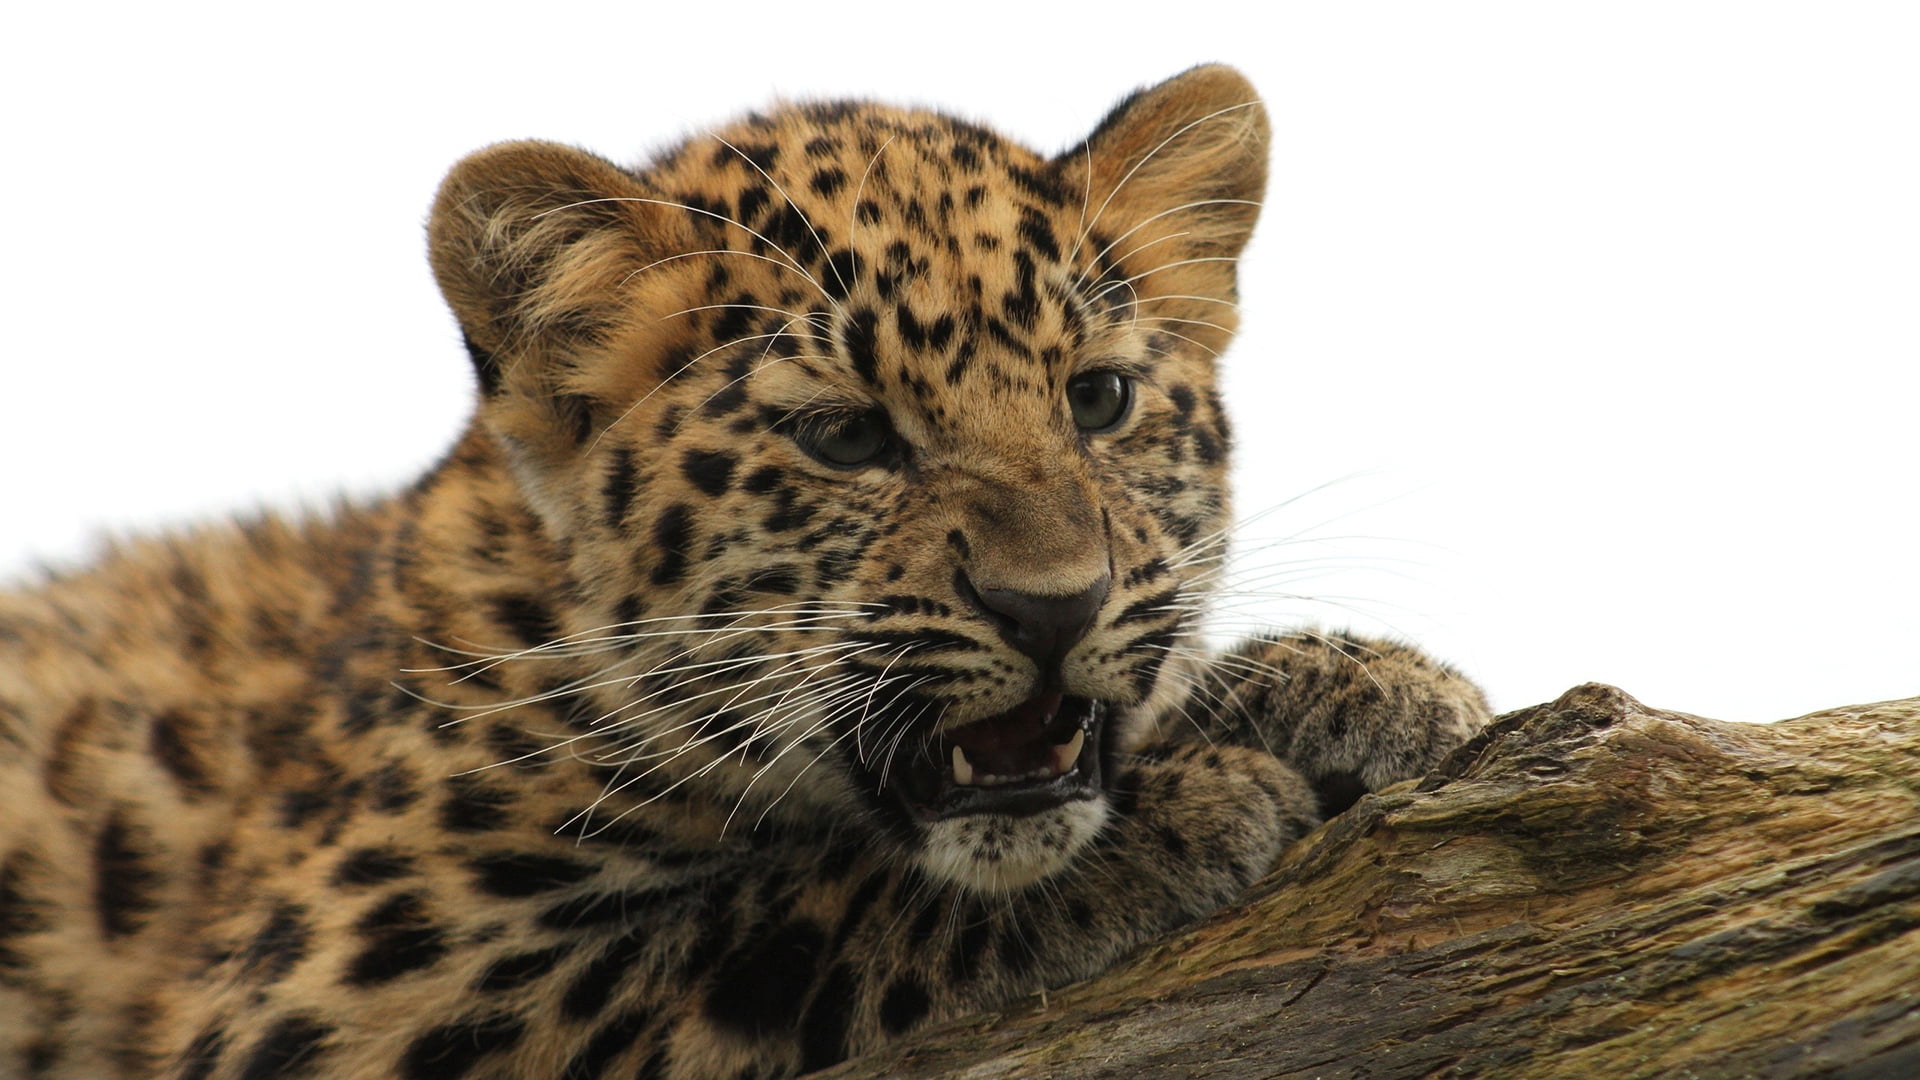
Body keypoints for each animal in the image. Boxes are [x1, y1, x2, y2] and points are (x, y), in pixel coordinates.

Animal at [0, 65, 1490, 1080]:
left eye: (1100, 401)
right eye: (847, 438)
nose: (1052, 606)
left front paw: (1345, 688)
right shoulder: (343, 996)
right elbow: (776, 927)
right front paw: (1186, 809)